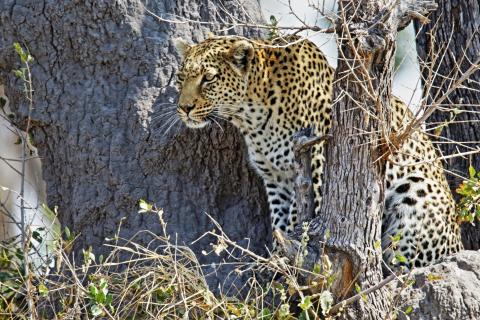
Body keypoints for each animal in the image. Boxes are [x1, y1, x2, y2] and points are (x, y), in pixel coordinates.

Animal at [172, 35, 462, 268]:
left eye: (209, 78)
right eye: (180, 78)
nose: (184, 108)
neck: (251, 117)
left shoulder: (318, 164)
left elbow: (296, 219)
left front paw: (283, 259)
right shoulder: (276, 179)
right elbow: (279, 221)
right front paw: (275, 257)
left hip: (415, 193)